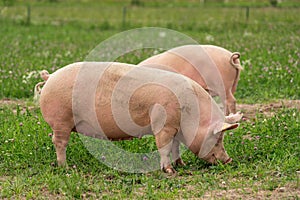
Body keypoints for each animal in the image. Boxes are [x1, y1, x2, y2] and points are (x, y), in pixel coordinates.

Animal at [39, 61, 239, 174]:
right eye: (218, 137)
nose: (229, 160)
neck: (190, 114)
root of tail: (50, 77)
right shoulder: (163, 124)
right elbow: (164, 147)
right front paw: (169, 171)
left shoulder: (175, 128)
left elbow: (176, 147)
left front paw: (181, 164)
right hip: (61, 119)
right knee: (59, 142)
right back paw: (65, 167)